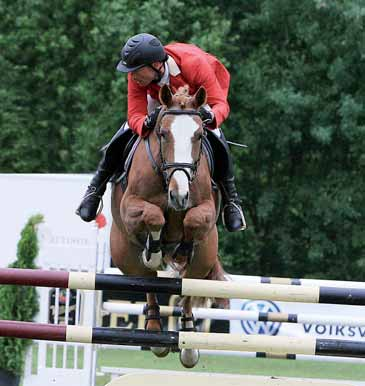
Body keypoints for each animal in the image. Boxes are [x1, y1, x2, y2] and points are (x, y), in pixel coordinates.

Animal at [110, 84, 225, 368]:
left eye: (198, 135)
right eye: (162, 134)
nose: (179, 195)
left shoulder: (206, 209)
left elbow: (193, 219)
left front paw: (181, 249)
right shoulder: (130, 206)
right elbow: (154, 216)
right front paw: (154, 250)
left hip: (205, 257)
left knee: (188, 289)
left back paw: (188, 341)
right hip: (124, 257)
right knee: (147, 282)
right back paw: (154, 332)